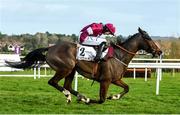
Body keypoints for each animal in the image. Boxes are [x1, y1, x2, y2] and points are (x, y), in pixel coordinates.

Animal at [5, 27, 162, 104]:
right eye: (148, 38)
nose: (159, 51)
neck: (119, 55)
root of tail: (50, 48)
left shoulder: (115, 79)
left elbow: (127, 88)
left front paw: (114, 96)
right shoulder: (105, 81)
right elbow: (101, 100)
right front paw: (90, 100)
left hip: (71, 70)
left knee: (67, 85)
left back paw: (77, 96)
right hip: (66, 68)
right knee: (53, 82)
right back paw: (72, 96)